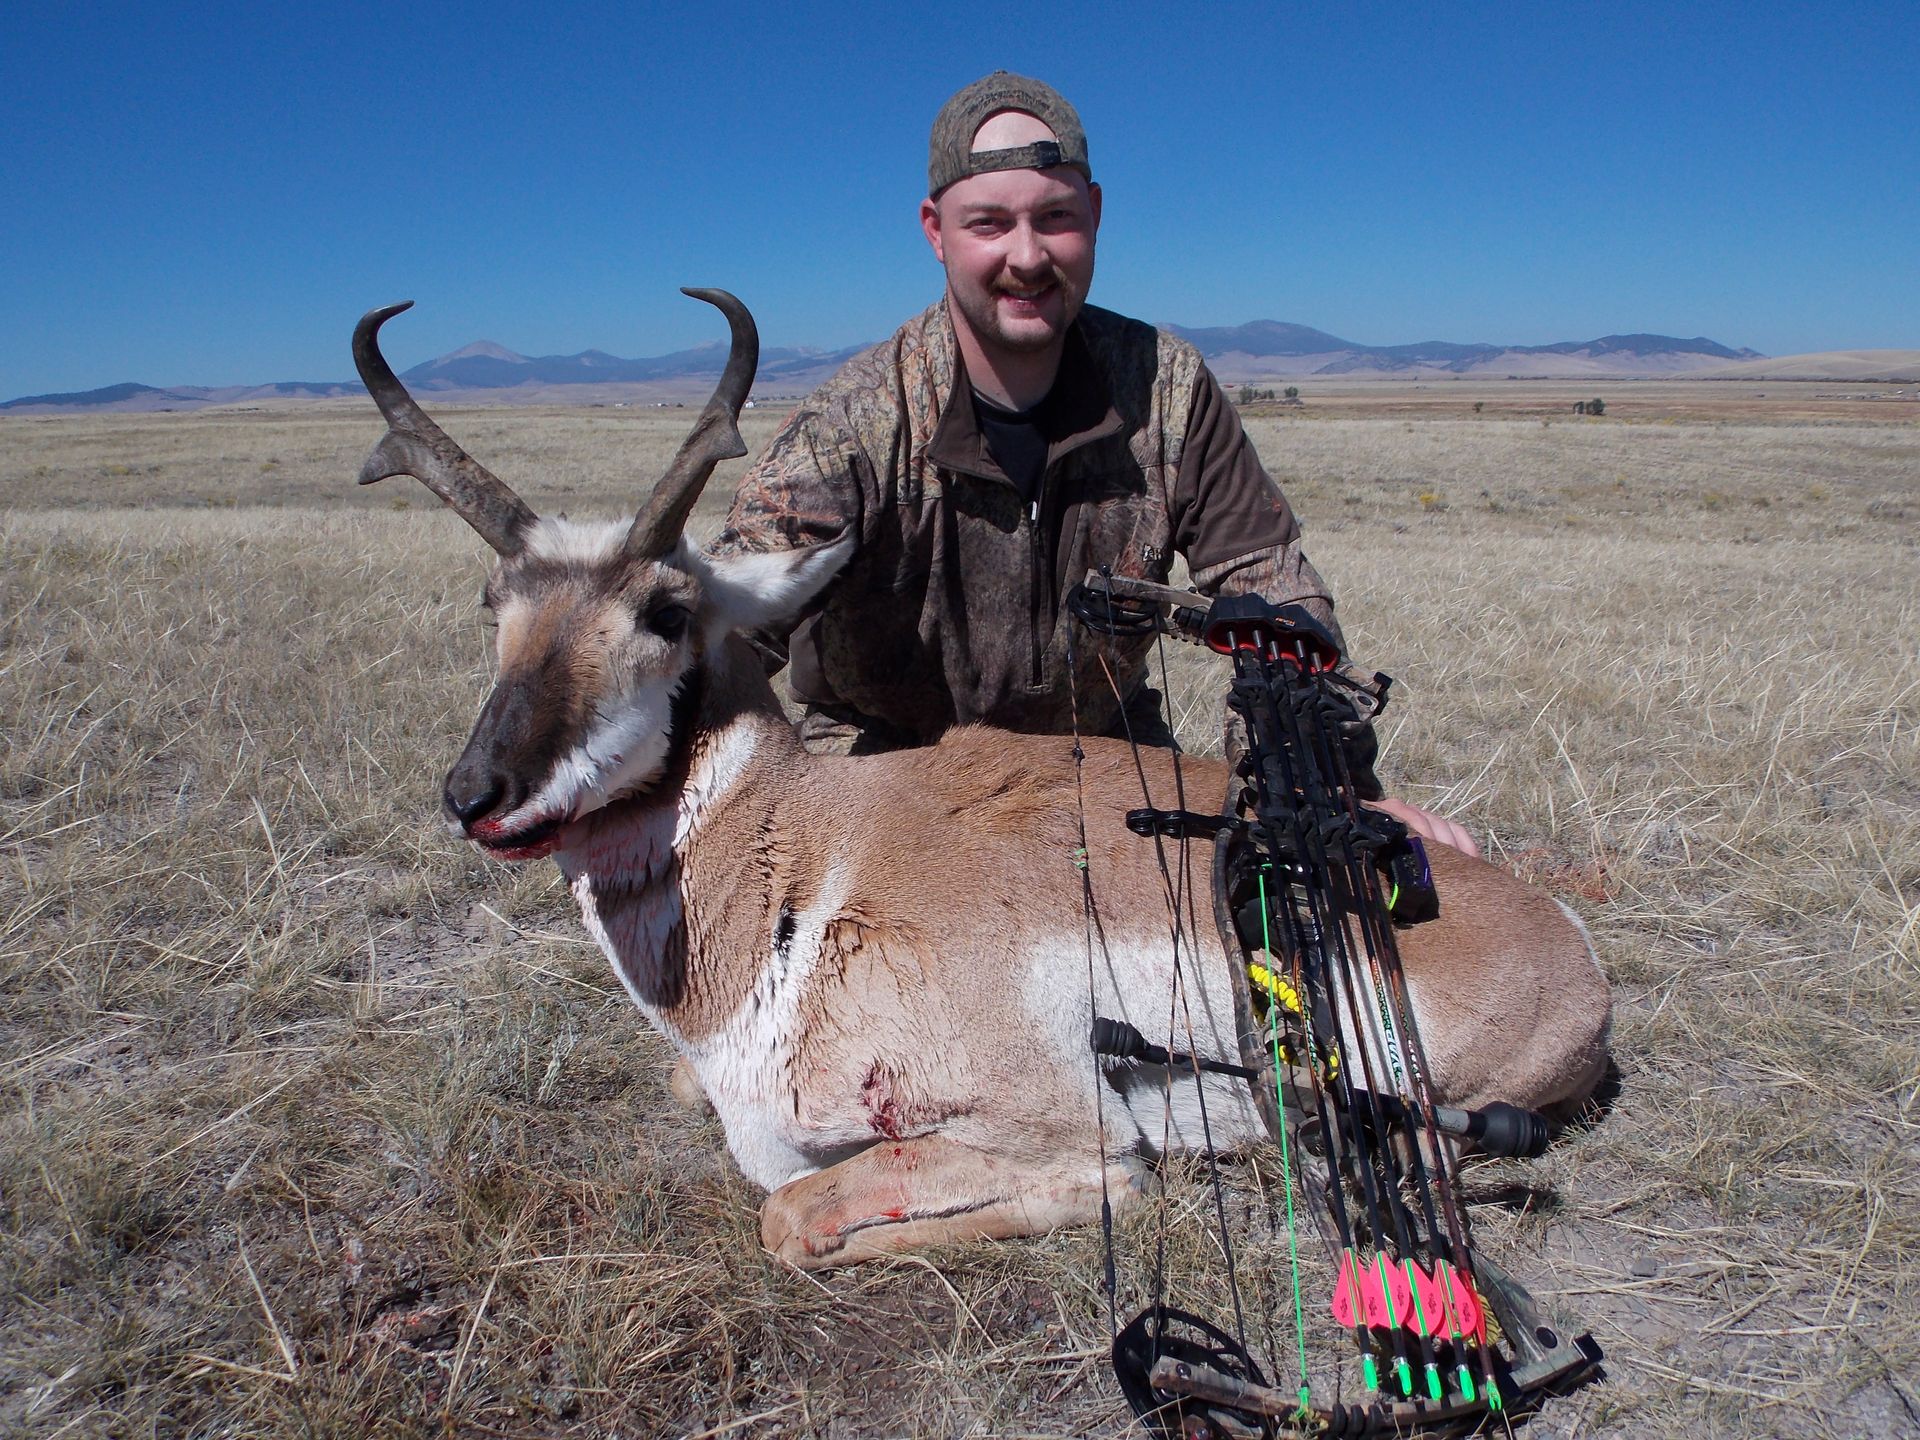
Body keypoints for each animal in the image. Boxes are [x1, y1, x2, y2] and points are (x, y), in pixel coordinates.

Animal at [353, 290, 1612, 1270]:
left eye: (665, 611)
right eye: (496, 606)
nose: (476, 794)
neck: (800, 863)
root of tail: (1571, 954)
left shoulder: (1042, 1113)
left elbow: (802, 1214)